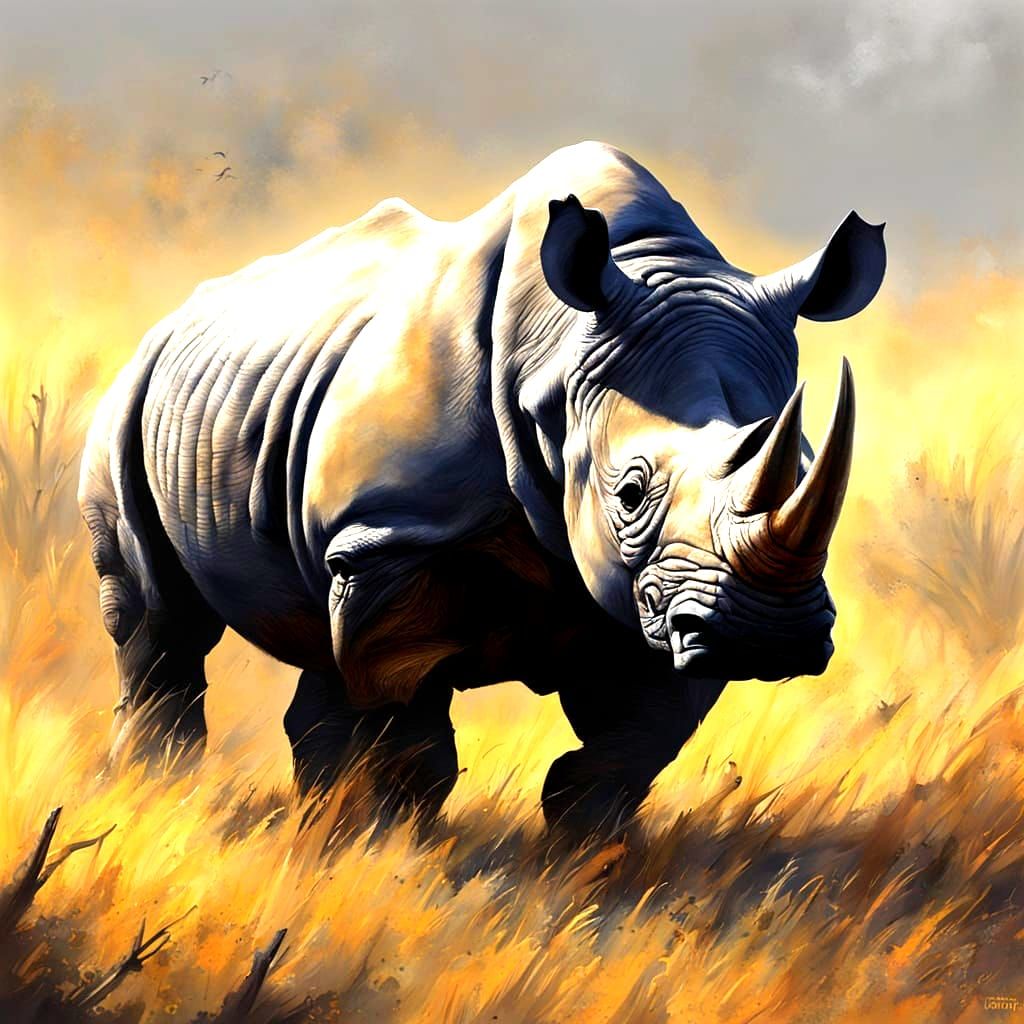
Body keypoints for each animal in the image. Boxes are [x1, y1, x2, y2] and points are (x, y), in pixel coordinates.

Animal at [79, 141, 885, 836]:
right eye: (630, 491)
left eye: (807, 462)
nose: (767, 635)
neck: (555, 365)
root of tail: (173, 319)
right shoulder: (390, 534)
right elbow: (404, 708)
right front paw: (393, 846)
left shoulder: (664, 592)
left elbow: (639, 735)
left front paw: (588, 855)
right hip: (129, 397)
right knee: (160, 618)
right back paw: (162, 795)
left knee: (312, 645)